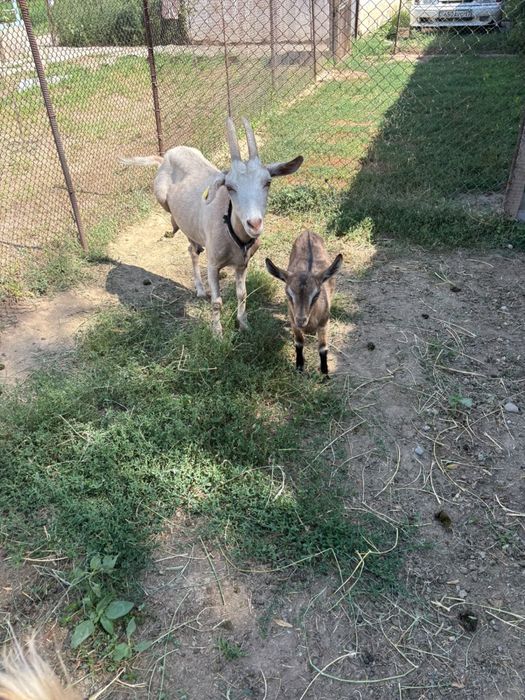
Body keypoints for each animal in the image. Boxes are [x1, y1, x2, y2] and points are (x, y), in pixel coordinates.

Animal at [122, 118, 303, 336]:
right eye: (230, 187)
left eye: (267, 182)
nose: (254, 223)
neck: (232, 232)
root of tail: (165, 156)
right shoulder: (213, 264)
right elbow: (217, 301)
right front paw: (217, 333)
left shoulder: (243, 263)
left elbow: (242, 293)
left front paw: (244, 324)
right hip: (163, 199)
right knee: (188, 241)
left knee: (192, 248)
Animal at [265, 231, 342, 375]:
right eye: (288, 294)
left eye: (316, 294)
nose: (301, 320)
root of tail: (308, 232)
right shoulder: (293, 321)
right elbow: (299, 343)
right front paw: (299, 367)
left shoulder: (324, 323)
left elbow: (323, 348)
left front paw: (325, 373)